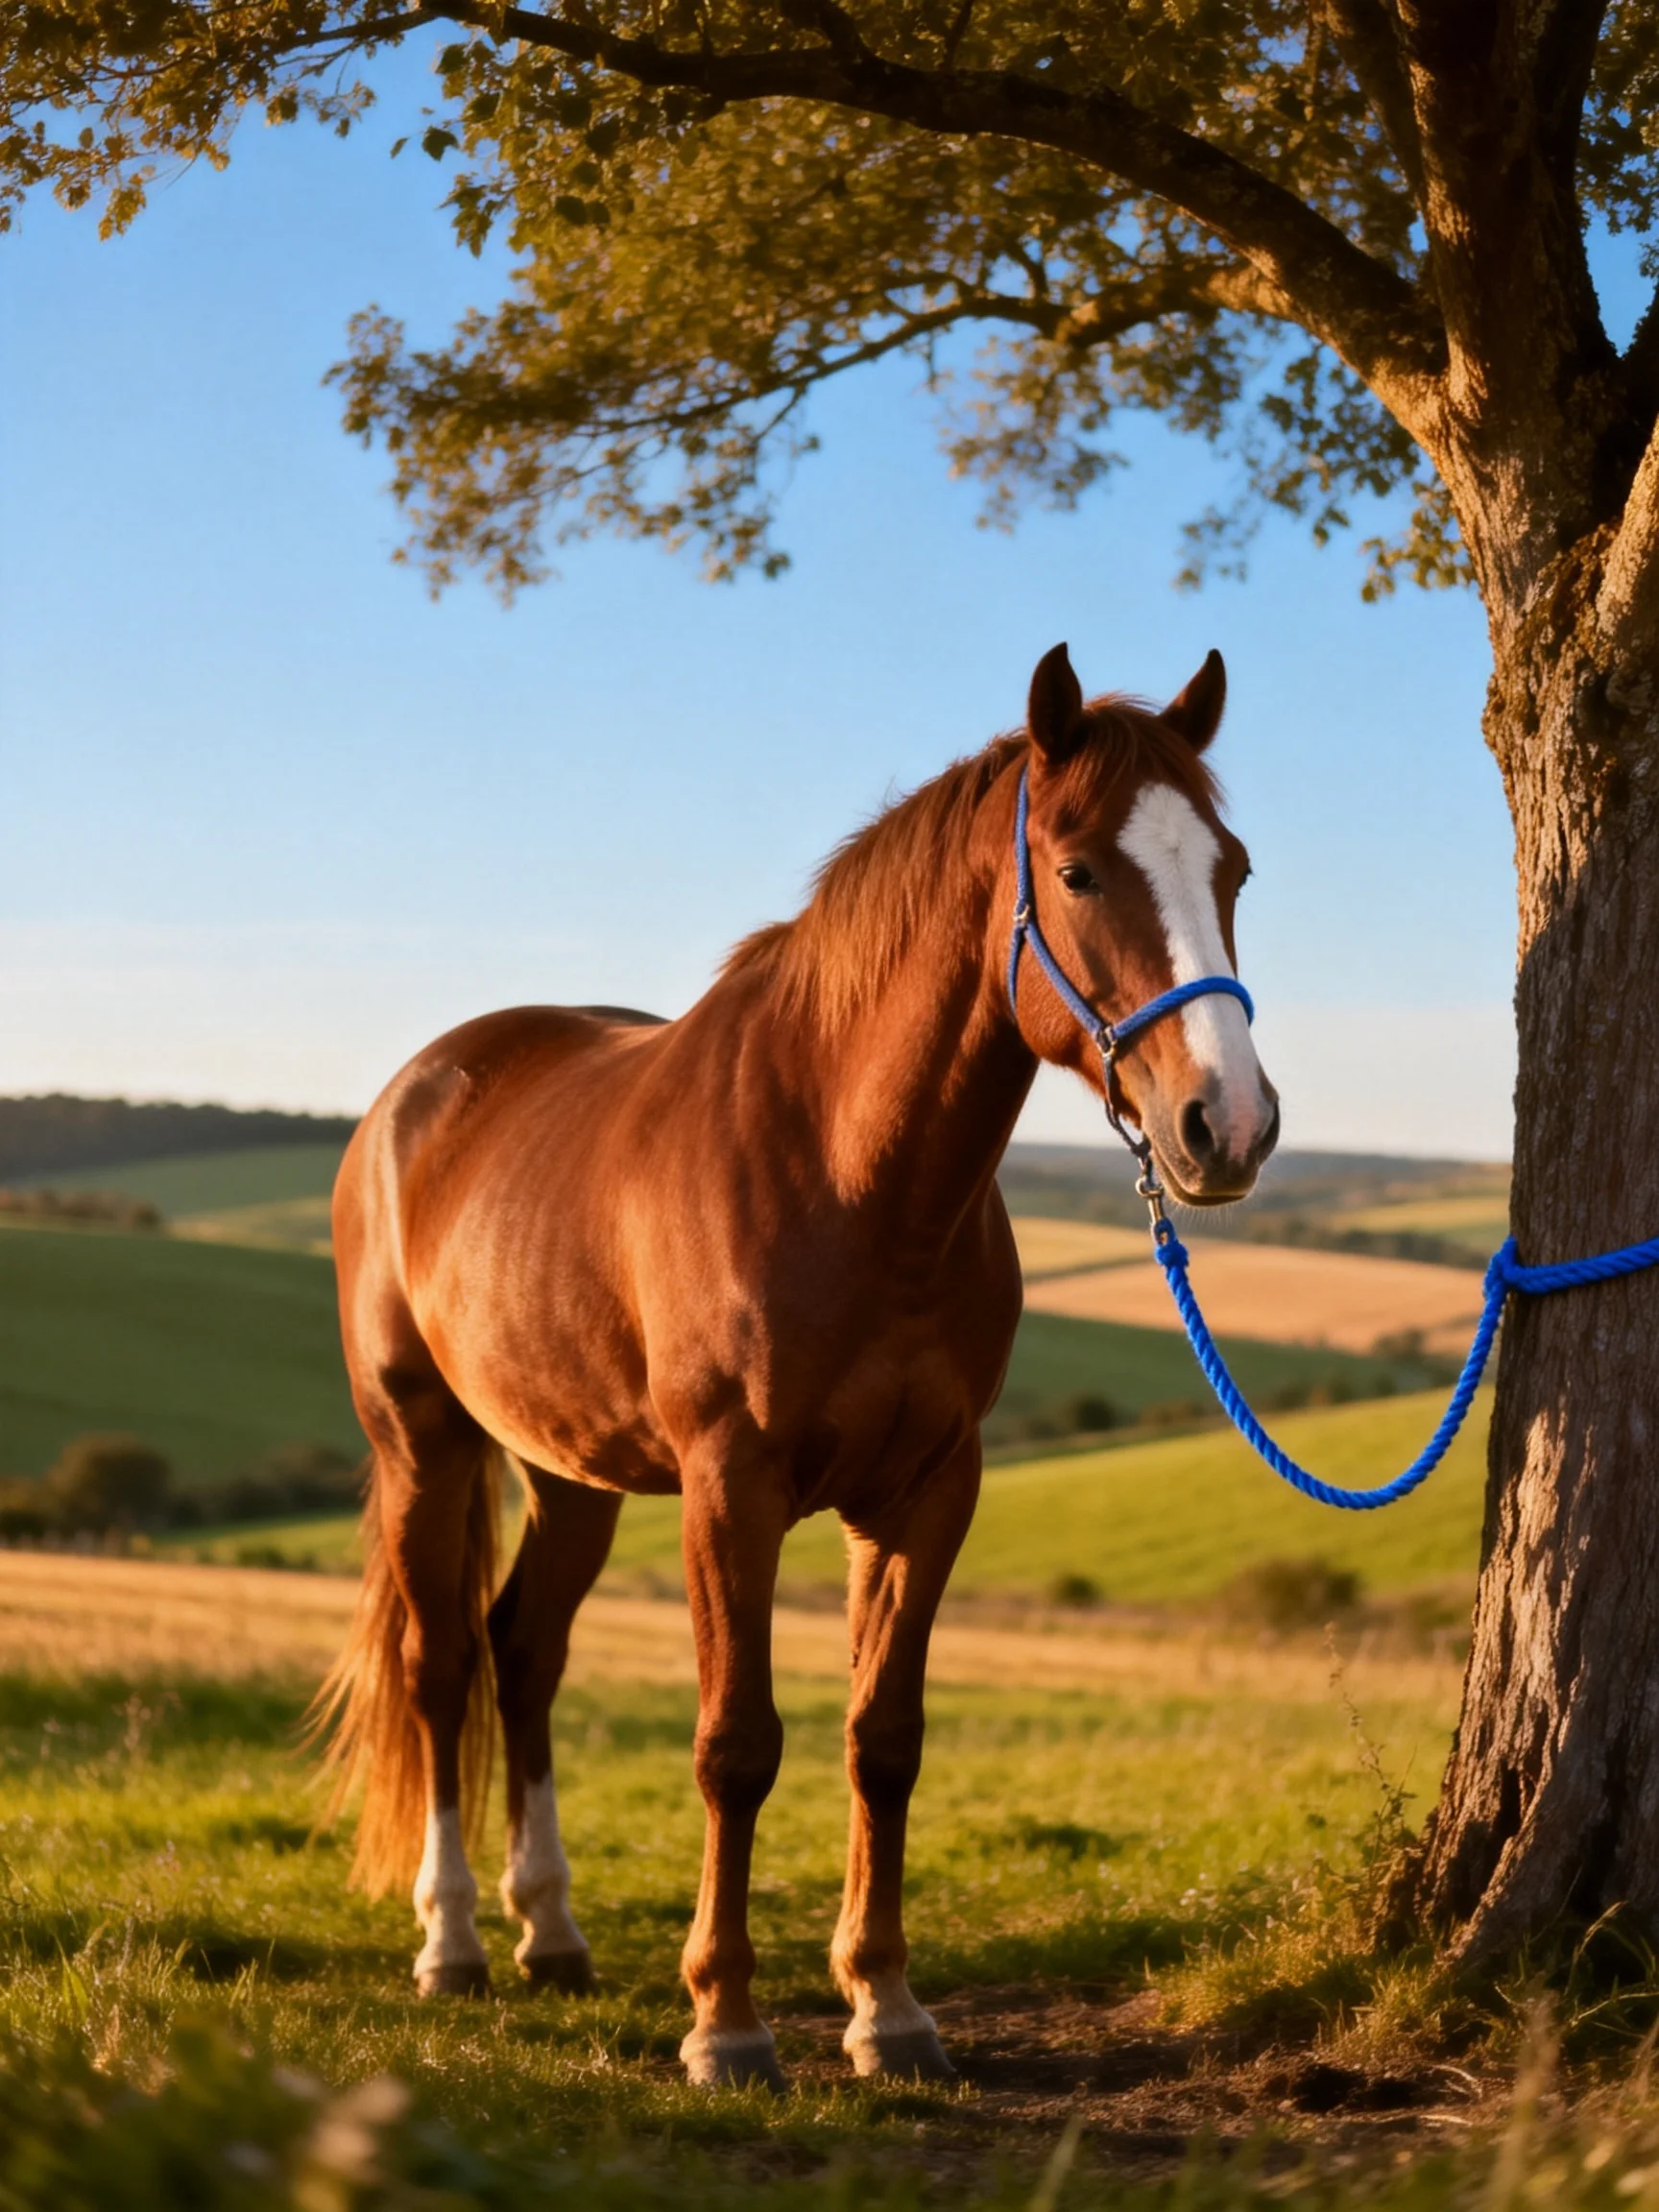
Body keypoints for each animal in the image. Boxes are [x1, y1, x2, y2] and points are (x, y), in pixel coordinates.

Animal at [315, 641, 1278, 2090]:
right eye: (1078, 872)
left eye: (1231, 871)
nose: (1229, 1125)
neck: (850, 1173)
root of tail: (413, 1094)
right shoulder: (734, 1489)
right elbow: (736, 1744)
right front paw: (726, 2023)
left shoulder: (929, 1492)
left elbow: (884, 1740)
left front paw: (887, 2006)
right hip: (422, 1444)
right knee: (441, 1667)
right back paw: (457, 1942)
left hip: (570, 1473)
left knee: (524, 1651)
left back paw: (552, 1932)